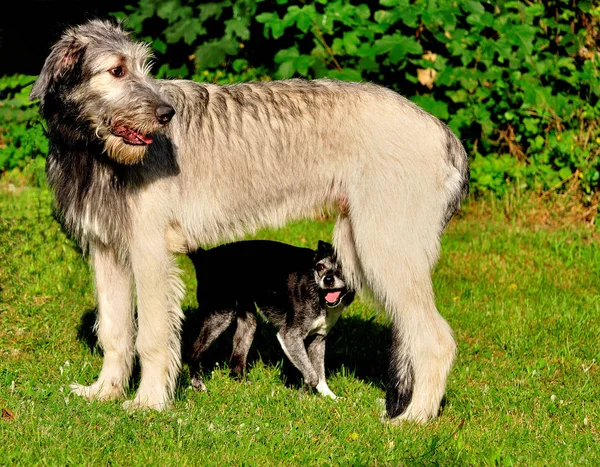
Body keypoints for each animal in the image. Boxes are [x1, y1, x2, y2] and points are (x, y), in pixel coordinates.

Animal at [188, 241, 354, 398]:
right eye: (320, 267)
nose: (327, 279)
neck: (319, 292)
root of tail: (204, 256)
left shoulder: (318, 340)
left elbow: (320, 374)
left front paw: (329, 397)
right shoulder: (290, 337)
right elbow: (312, 375)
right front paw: (302, 395)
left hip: (248, 324)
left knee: (235, 361)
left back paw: (246, 387)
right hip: (220, 317)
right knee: (194, 351)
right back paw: (197, 383)